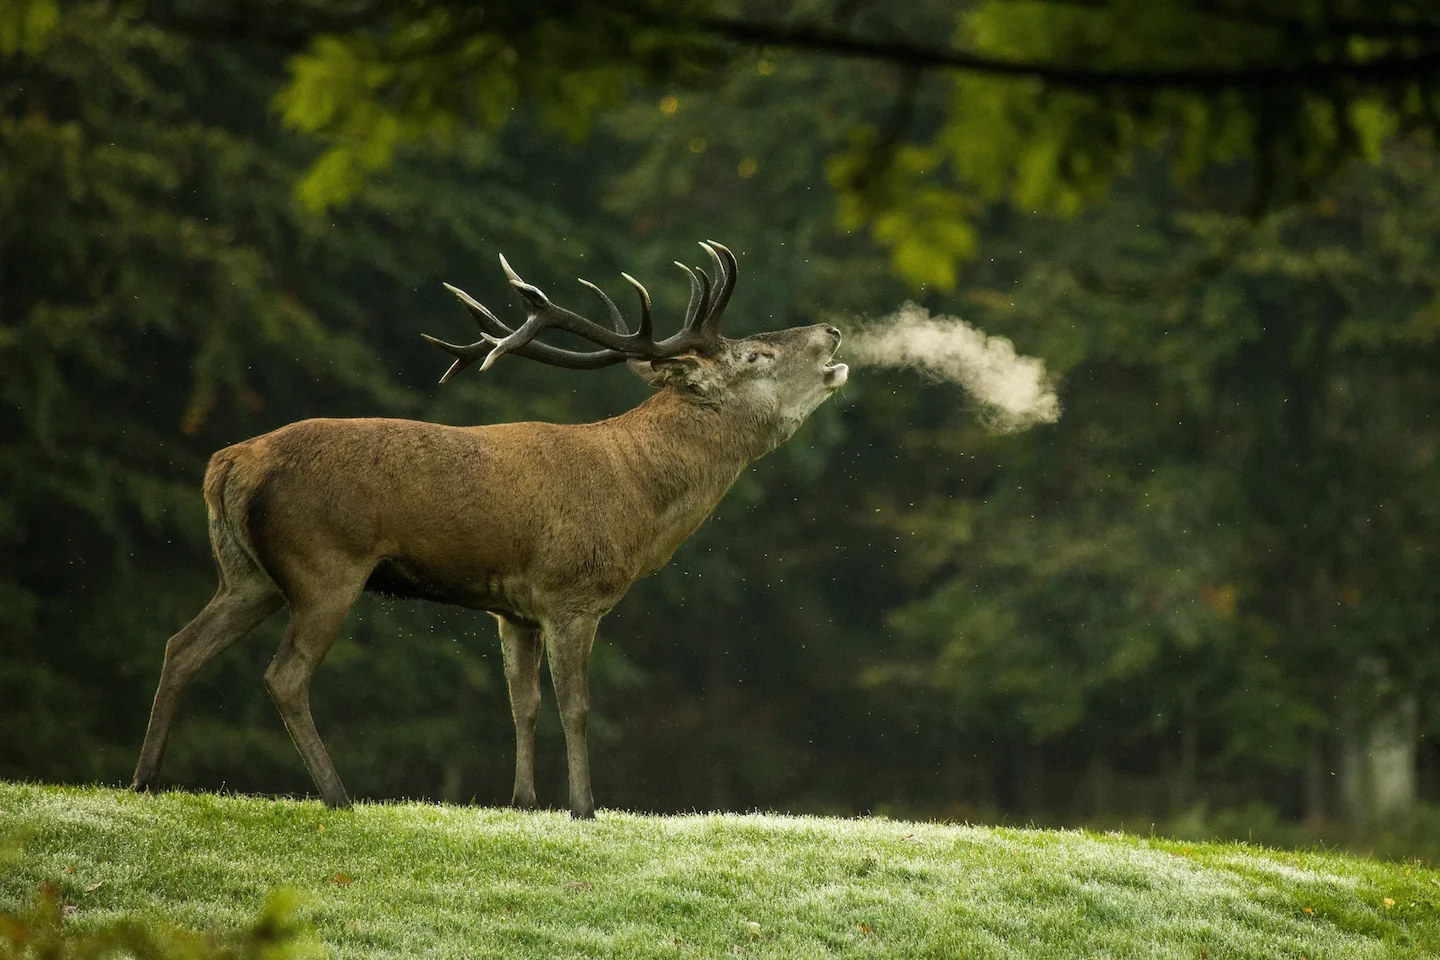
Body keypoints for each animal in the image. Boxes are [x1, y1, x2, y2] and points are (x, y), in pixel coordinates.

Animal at [132, 241, 848, 817]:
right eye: (755, 353)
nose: (834, 332)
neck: (638, 501)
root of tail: (226, 465)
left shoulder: (514, 608)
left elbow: (521, 703)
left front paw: (523, 801)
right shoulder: (570, 593)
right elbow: (575, 707)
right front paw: (584, 808)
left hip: (247, 574)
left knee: (181, 645)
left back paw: (145, 779)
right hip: (323, 565)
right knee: (285, 676)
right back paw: (338, 797)